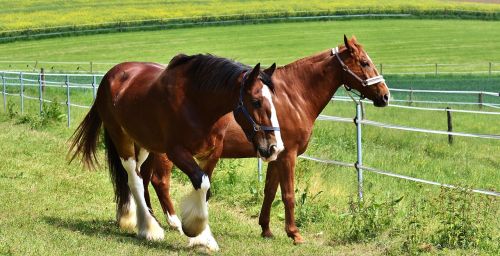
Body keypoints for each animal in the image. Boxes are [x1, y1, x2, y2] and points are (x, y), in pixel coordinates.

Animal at [68, 53, 284, 251]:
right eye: (256, 101)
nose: (274, 148)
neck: (196, 103)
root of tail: (111, 75)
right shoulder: (176, 152)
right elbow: (201, 183)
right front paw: (195, 230)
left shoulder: (212, 154)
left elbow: (205, 189)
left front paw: (202, 239)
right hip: (122, 139)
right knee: (135, 179)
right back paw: (150, 228)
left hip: (144, 144)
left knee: (141, 178)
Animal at [117, 35, 390, 247]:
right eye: (365, 62)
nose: (385, 96)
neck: (292, 96)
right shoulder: (288, 155)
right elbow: (288, 194)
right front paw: (294, 234)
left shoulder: (274, 154)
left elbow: (269, 191)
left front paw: (266, 229)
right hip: (165, 153)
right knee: (158, 180)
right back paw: (172, 222)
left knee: (143, 178)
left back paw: (151, 219)